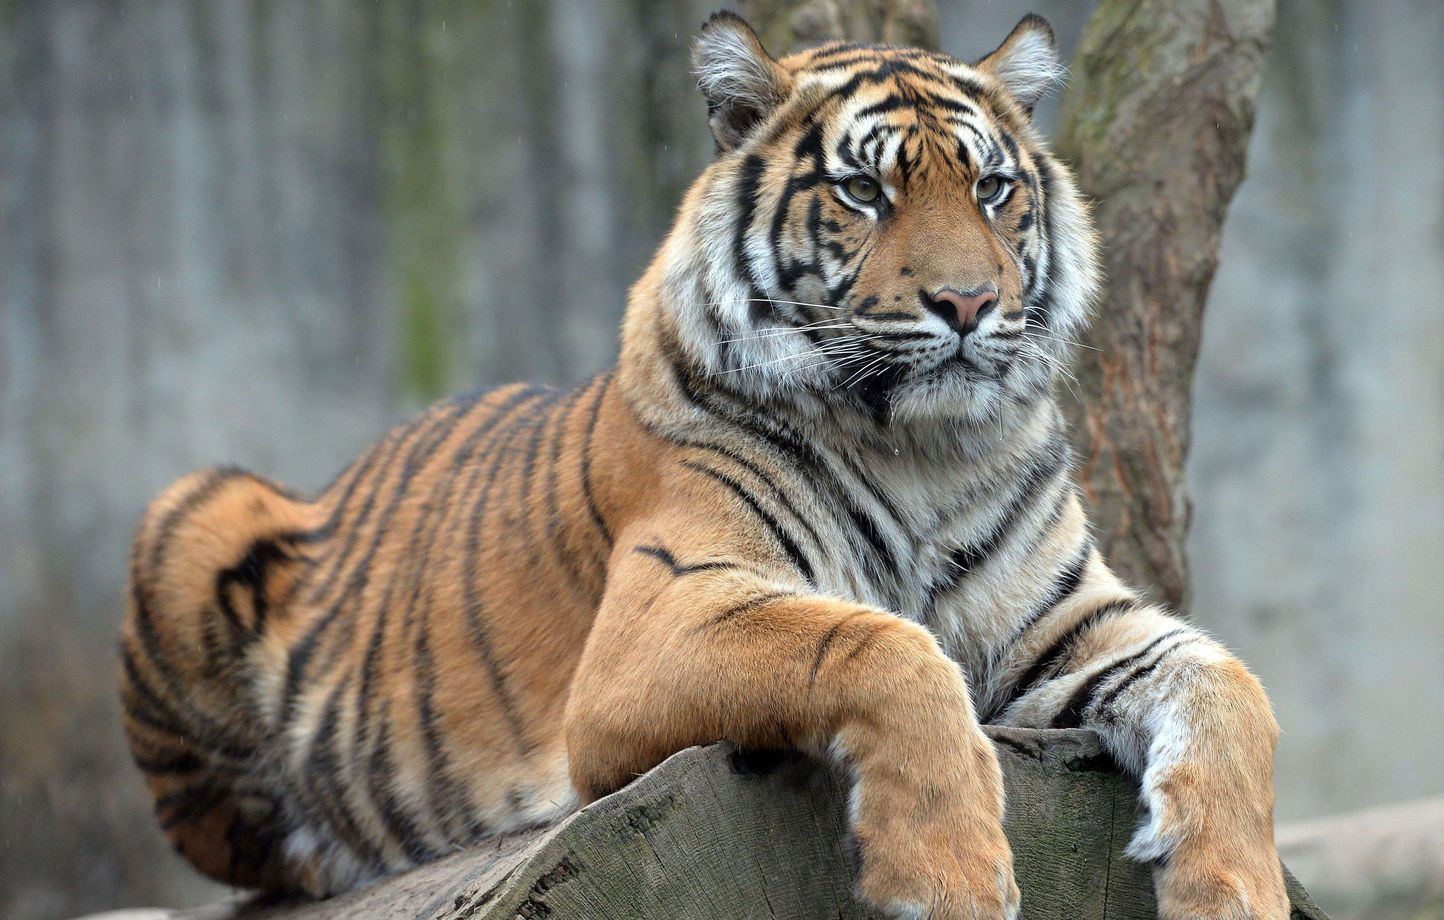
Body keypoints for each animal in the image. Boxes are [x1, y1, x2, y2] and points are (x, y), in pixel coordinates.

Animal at [119, 12, 1289, 920]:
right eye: (865, 193)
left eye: (994, 189)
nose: (967, 303)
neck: (924, 448)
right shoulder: (659, 618)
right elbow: (885, 646)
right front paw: (949, 875)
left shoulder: (1068, 621)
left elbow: (1233, 687)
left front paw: (1234, 890)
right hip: (191, 509)